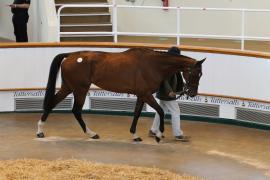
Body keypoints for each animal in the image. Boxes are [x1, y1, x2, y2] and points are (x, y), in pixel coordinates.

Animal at [35, 47, 205, 142]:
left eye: (201, 74)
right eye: (195, 73)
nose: (192, 93)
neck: (152, 64)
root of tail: (70, 55)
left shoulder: (141, 95)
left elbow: (137, 113)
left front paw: (135, 135)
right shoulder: (146, 94)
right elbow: (161, 111)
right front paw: (158, 135)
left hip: (68, 87)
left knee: (52, 103)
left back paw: (40, 131)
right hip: (80, 89)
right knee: (76, 110)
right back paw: (92, 134)